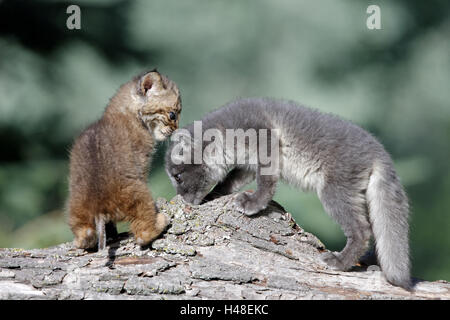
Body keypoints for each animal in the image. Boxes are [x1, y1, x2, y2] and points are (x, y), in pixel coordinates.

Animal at [68, 70, 181, 250]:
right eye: (172, 115)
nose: (176, 130)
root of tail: (99, 206)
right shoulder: (141, 163)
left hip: (75, 204)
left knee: (85, 235)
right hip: (139, 193)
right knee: (142, 235)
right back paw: (161, 222)